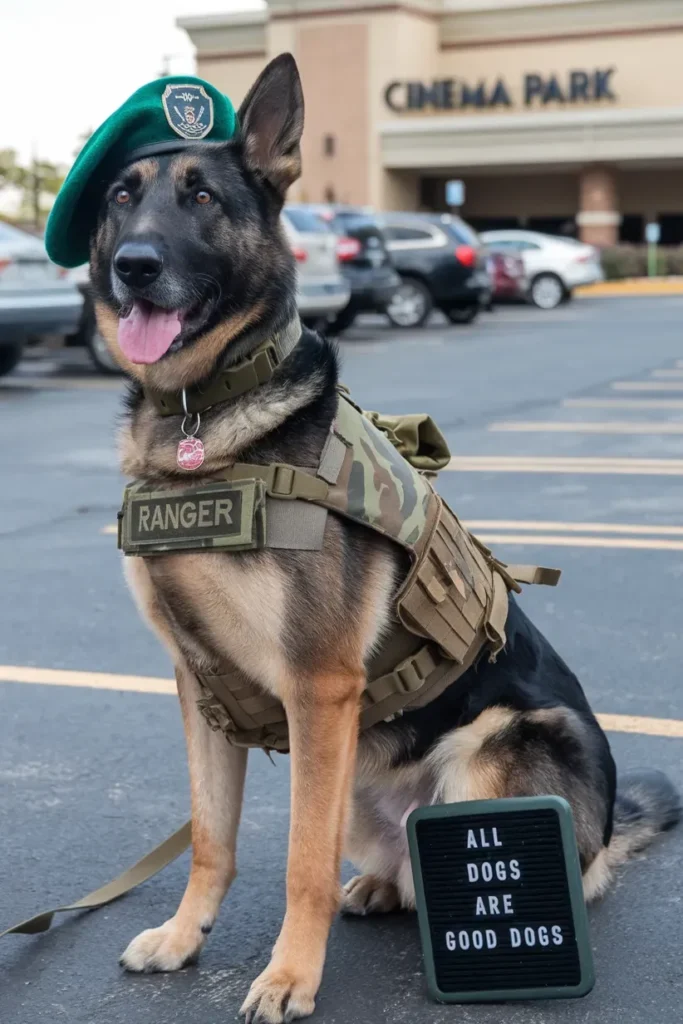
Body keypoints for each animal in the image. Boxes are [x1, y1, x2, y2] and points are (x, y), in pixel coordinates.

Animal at [89, 56, 679, 1024]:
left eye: (202, 197)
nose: (133, 266)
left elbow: (299, 860)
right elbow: (212, 836)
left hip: (493, 748)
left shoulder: (318, 687)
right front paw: (184, 936)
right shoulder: (197, 685)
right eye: (120, 198)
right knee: (385, 864)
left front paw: (289, 977)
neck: (201, 422)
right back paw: (377, 886)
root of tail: (598, 832)